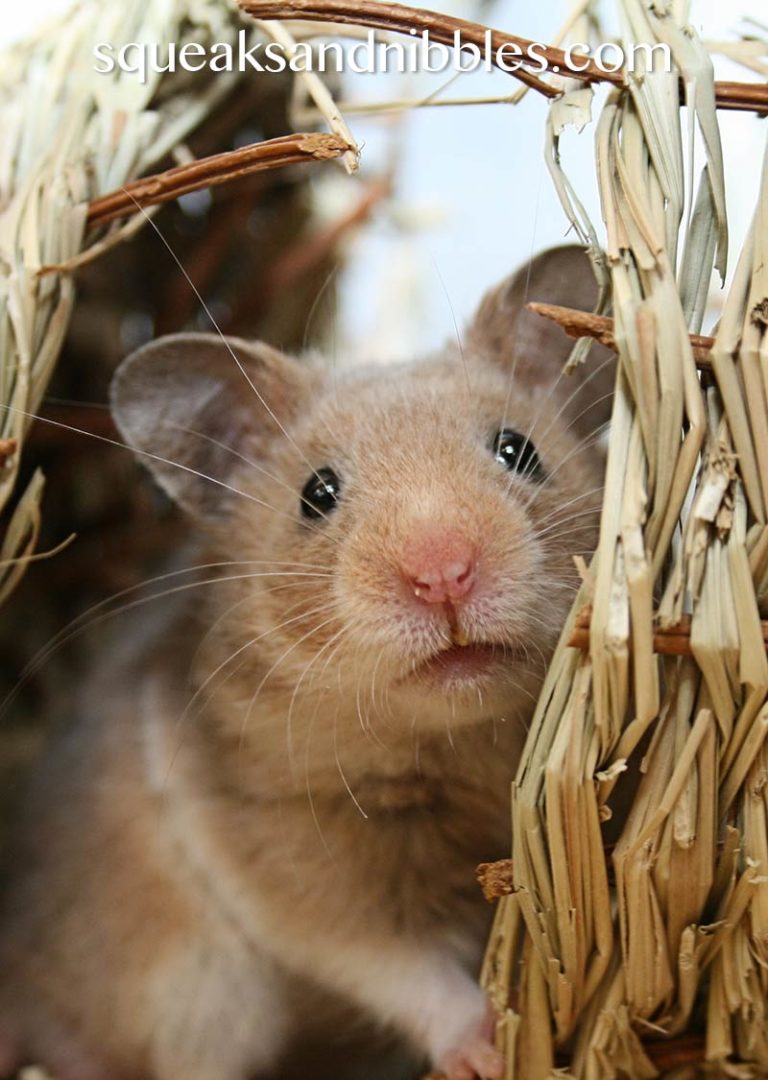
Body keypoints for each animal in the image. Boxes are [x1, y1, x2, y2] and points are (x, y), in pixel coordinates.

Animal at [0, 246, 613, 1080]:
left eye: (518, 450)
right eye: (316, 494)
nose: (444, 576)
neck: (451, 744)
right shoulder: (280, 851)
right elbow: (397, 963)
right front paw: (489, 1047)